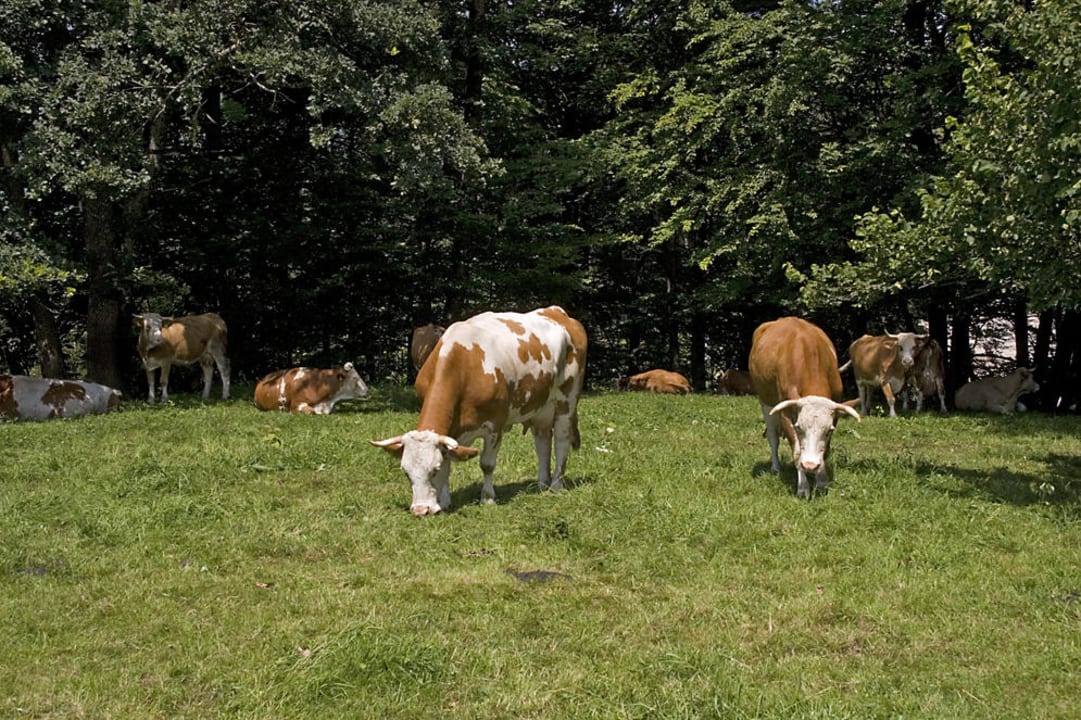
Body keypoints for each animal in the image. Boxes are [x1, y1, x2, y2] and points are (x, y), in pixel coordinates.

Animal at [371, 306, 587, 516]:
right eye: (405, 472)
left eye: (434, 469)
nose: (420, 510)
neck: (462, 365)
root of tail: (558, 312)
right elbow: (449, 461)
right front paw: (445, 501)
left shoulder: (495, 425)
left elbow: (487, 464)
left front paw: (488, 498)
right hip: (539, 407)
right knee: (542, 442)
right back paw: (542, 483)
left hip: (566, 402)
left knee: (561, 442)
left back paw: (556, 485)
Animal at [748, 317, 861, 499]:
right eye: (799, 427)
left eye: (829, 430)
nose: (810, 466)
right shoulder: (787, 414)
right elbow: (796, 451)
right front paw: (803, 488)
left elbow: (825, 450)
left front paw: (821, 482)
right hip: (766, 402)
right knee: (773, 437)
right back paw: (776, 467)